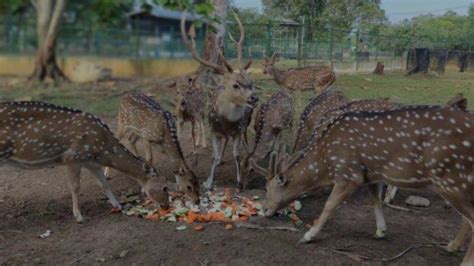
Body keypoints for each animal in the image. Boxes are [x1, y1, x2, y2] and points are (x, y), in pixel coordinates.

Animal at [0, 101, 170, 221]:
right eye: (165, 187)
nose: (166, 206)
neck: (101, 148)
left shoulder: (90, 162)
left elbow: (104, 183)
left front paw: (118, 205)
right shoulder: (73, 157)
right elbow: (75, 187)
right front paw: (79, 216)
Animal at [181, 10, 258, 189]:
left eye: (250, 82)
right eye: (235, 85)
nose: (254, 97)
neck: (226, 121)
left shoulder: (238, 129)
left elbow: (237, 154)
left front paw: (239, 181)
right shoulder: (213, 129)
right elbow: (213, 156)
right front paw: (208, 182)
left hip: (246, 125)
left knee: (243, 142)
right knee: (224, 142)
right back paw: (221, 159)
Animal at [262, 103, 474, 264]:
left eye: (270, 189)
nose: (264, 210)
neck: (325, 163)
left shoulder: (349, 173)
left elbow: (329, 205)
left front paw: (308, 236)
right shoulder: (372, 175)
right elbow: (375, 201)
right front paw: (381, 231)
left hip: (451, 178)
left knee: (471, 219)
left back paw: (465, 261)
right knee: (466, 219)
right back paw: (451, 246)